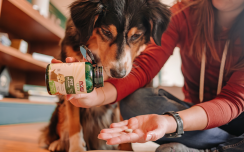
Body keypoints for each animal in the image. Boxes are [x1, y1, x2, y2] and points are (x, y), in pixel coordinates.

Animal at [39, 0, 170, 151]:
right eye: (106, 32)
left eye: (136, 36)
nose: (119, 74)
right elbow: (73, 122)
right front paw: (76, 148)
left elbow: (124, 123)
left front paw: (126, 147)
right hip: (59, 109)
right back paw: (58, 143)